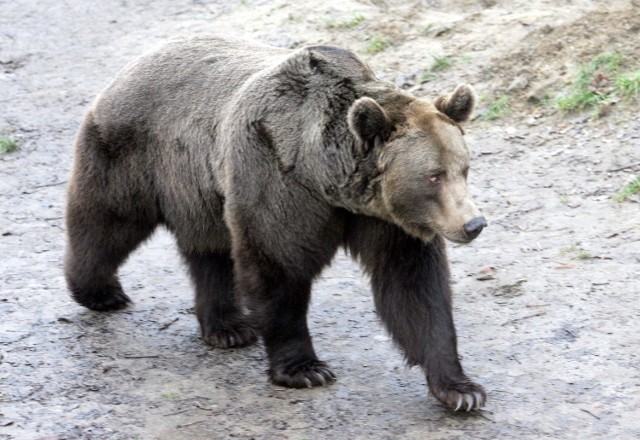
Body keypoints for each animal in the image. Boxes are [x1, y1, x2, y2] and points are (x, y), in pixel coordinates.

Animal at [63, 35, 484, 412]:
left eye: (463, 168)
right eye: (433, 176)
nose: (473, 224)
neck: (328, 178)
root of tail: (133, 64)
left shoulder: (384, 218)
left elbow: (413, 287)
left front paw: (460, 388)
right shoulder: (278, 180)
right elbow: (277, 265)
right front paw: (305, 369)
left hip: (201, 192)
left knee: (210, 251)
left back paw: (228, 327)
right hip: (135, 155)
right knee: (107, 221)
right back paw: (99, 291)